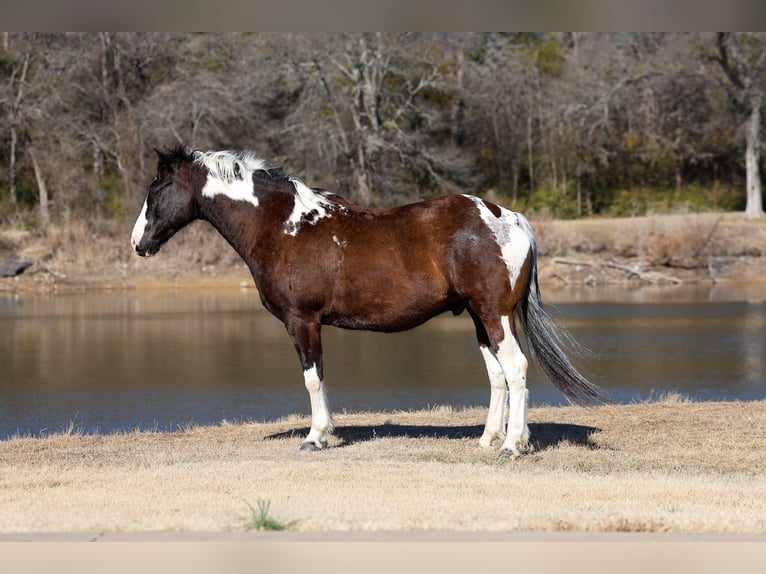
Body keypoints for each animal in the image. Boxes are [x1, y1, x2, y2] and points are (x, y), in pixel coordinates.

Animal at [131, 146, 608, 457]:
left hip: (495, 314)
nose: (138, 243)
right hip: (480, 318)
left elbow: (313, 379)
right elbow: (320, 377)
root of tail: (508, 216)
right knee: (497, 375)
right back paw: (489, 439)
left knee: (516, 369)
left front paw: (316, 437)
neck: (283, 226)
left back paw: (512, 445)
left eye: (157, 189)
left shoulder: (302, 321)